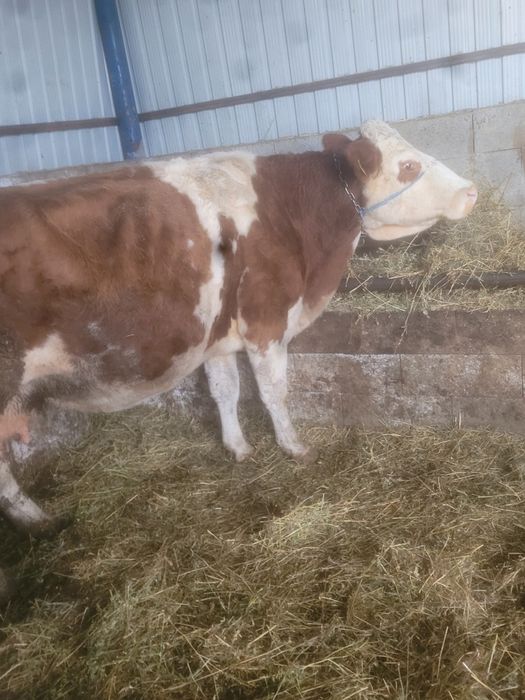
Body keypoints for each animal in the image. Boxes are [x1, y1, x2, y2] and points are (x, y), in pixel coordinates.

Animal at [0, 120, 476, 562]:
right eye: (408, 165)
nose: (471, 192)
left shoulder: (220, 337)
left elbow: (225, 391)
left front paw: (239, 447)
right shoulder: (266, 321)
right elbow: (273, 391)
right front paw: (294, 447)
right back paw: (39, 520)